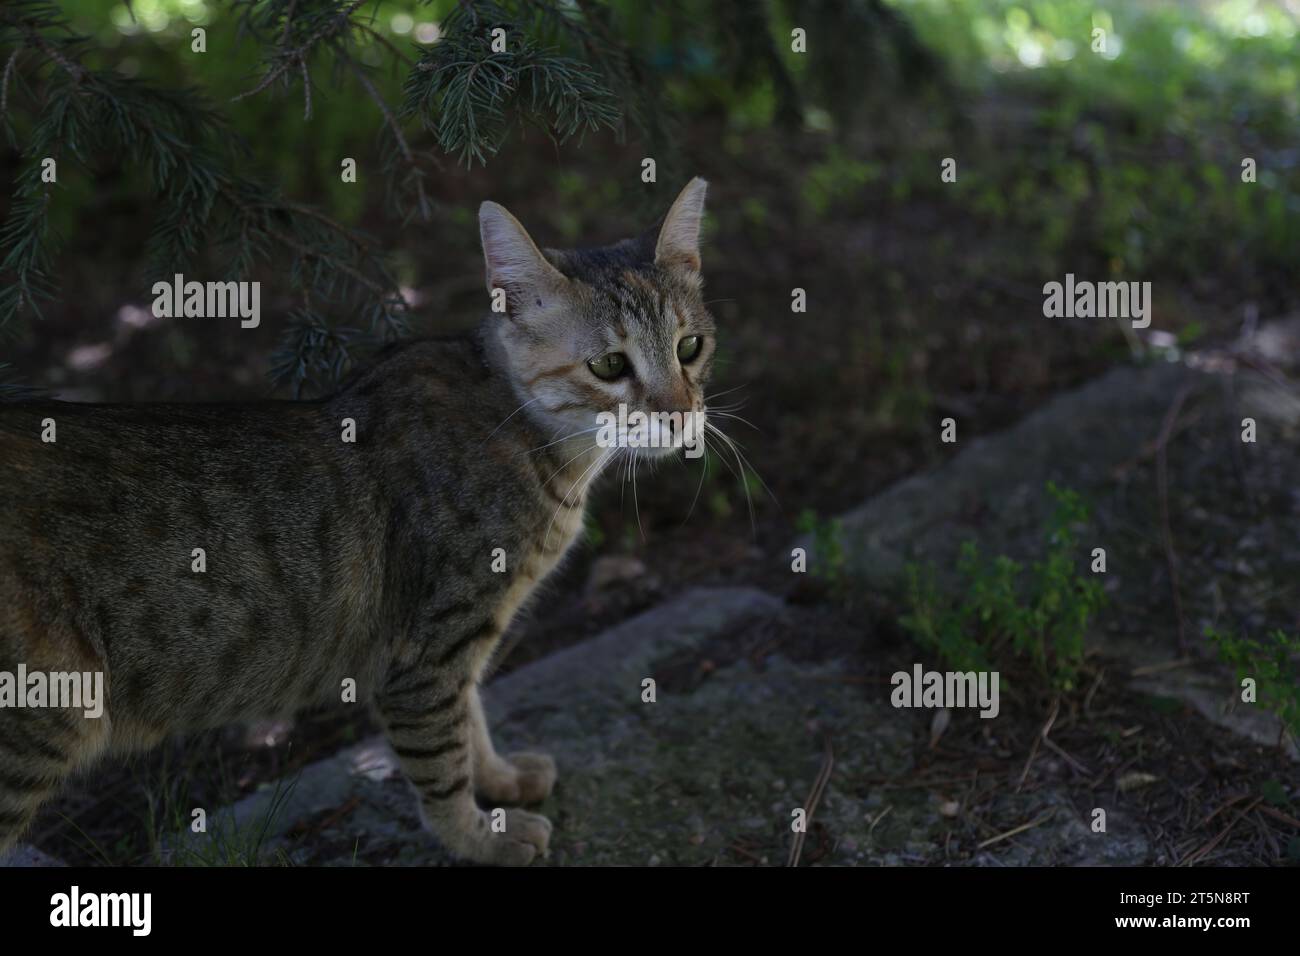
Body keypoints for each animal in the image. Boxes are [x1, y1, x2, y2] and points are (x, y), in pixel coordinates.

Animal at [0, 175, 717, 863]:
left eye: (690, 347)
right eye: (609, 365)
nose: (680, 415)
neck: (533, 440)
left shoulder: (458, 645)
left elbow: (472, 717)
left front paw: (500, 781)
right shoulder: (424, 653)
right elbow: (442, 760)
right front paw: (480, 838)